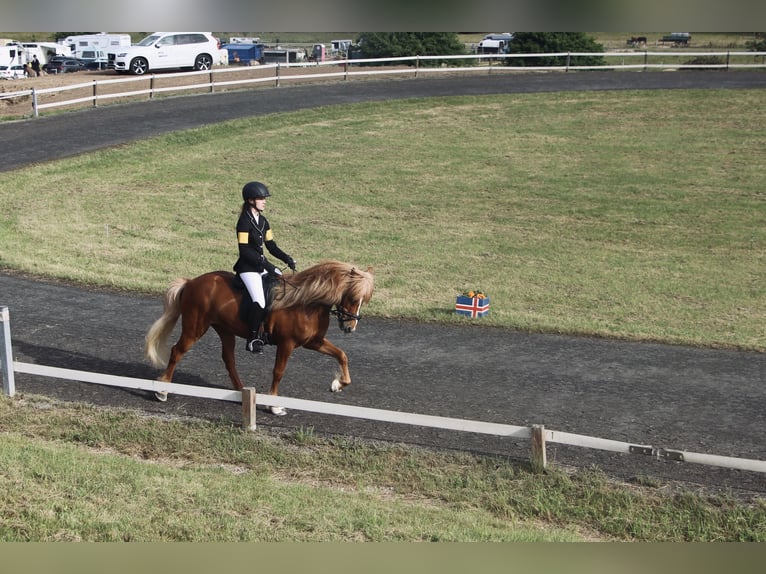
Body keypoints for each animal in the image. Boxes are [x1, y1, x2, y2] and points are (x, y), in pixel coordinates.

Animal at [144, 260, 374, 415]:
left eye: (364, 300)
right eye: (353, 297)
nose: (350, 327)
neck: (305, 302)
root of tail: (191, 282)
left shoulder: (313, 342)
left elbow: (341, 355)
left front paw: (338, 384)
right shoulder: (287, 344)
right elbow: (278, 372)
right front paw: (274, 405)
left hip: (224, 330)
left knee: (229, 360)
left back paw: (241, 393)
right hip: (195, 328)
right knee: (177, 351)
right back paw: (162, 391)